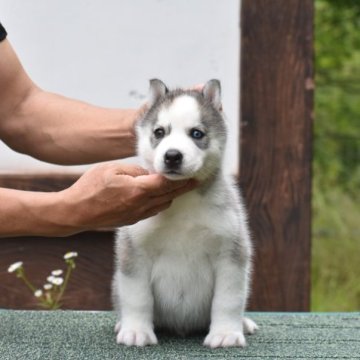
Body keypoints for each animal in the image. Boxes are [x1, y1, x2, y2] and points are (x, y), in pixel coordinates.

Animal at [112, 79, 256, 348]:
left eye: (196, 133)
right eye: (159, 132)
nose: (172, 156)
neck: (182, 202)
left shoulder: (230, 252)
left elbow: (228, 300)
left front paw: (226, 334)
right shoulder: (135, 251)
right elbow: (138, 297)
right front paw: (136, 330)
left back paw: (243, 324)